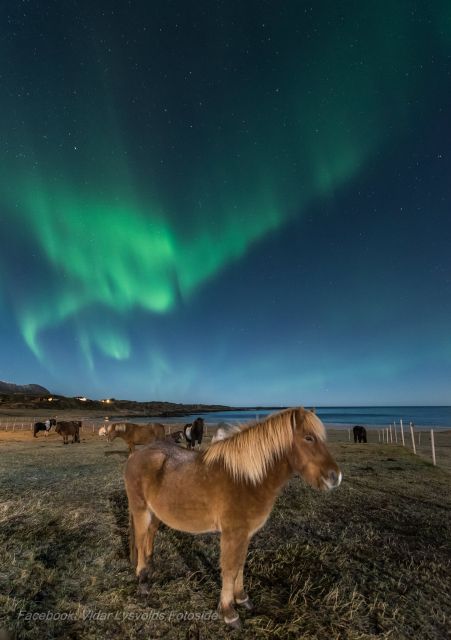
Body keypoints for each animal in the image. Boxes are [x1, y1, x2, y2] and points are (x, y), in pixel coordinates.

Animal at [124, 407, 342, 629]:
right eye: (308, 438)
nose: (335, 478)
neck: (247, 479)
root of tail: (136, 456)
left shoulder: (245, 535)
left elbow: (240, 564)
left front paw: (242, 598)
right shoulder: (232, 534)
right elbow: (229, 569)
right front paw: (229, 612)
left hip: (155, 514)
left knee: (149, 537)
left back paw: (150, 568)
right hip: (141, 511)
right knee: (140, 540)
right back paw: (143, 581)